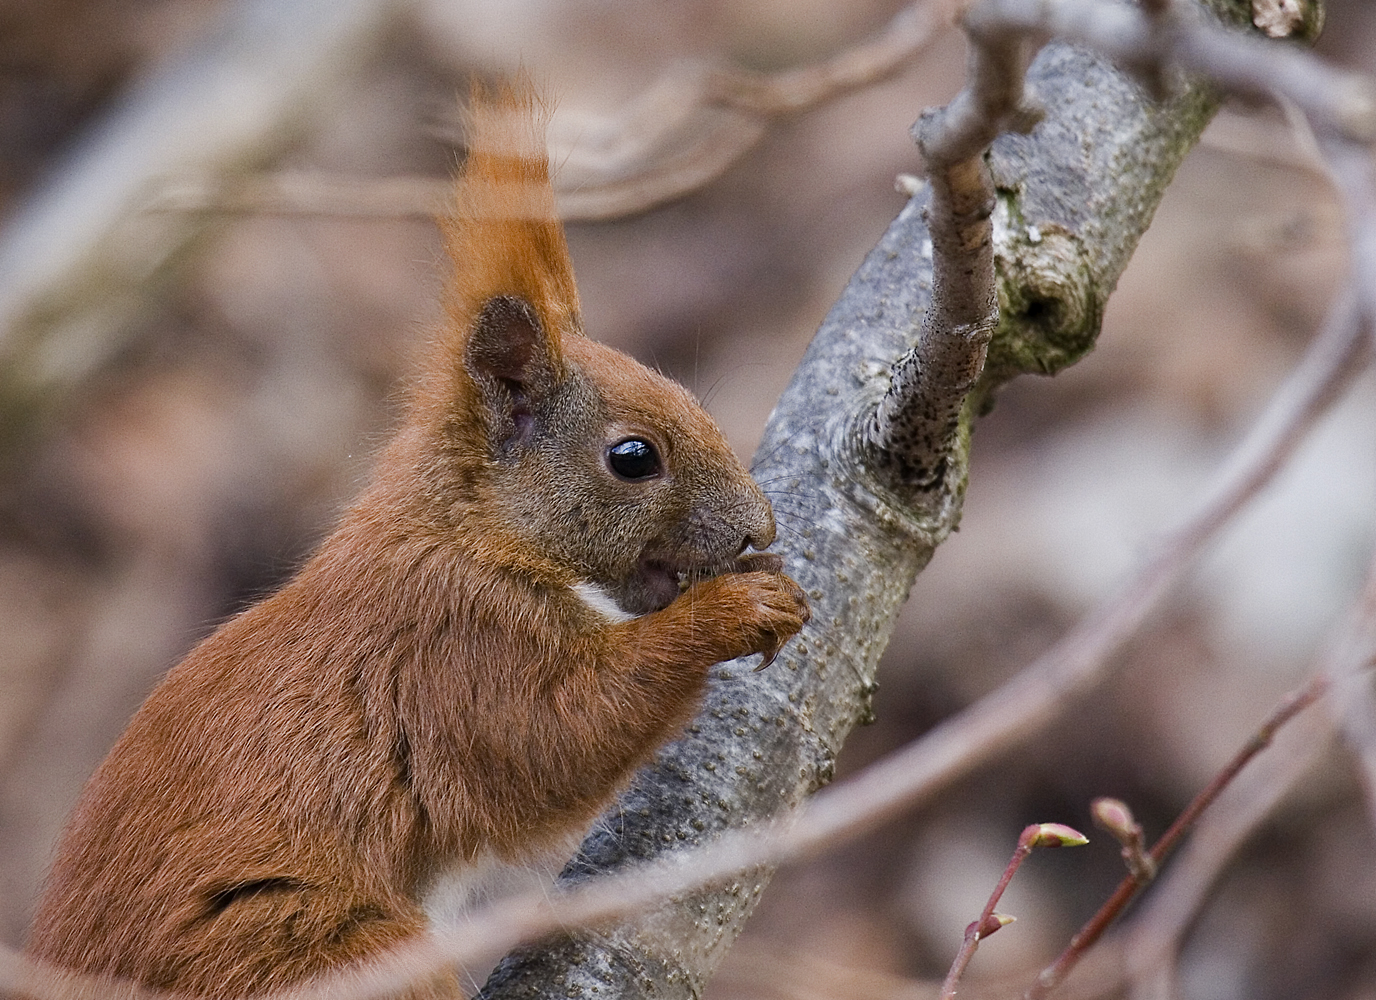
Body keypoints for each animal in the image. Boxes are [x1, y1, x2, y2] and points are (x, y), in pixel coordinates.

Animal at [29, 82, 803, 995]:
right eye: (633, 457)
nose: (760, 525)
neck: (470, 533)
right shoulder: (456, 651)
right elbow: (559, 738)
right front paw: (737, 610)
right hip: (317, 952)